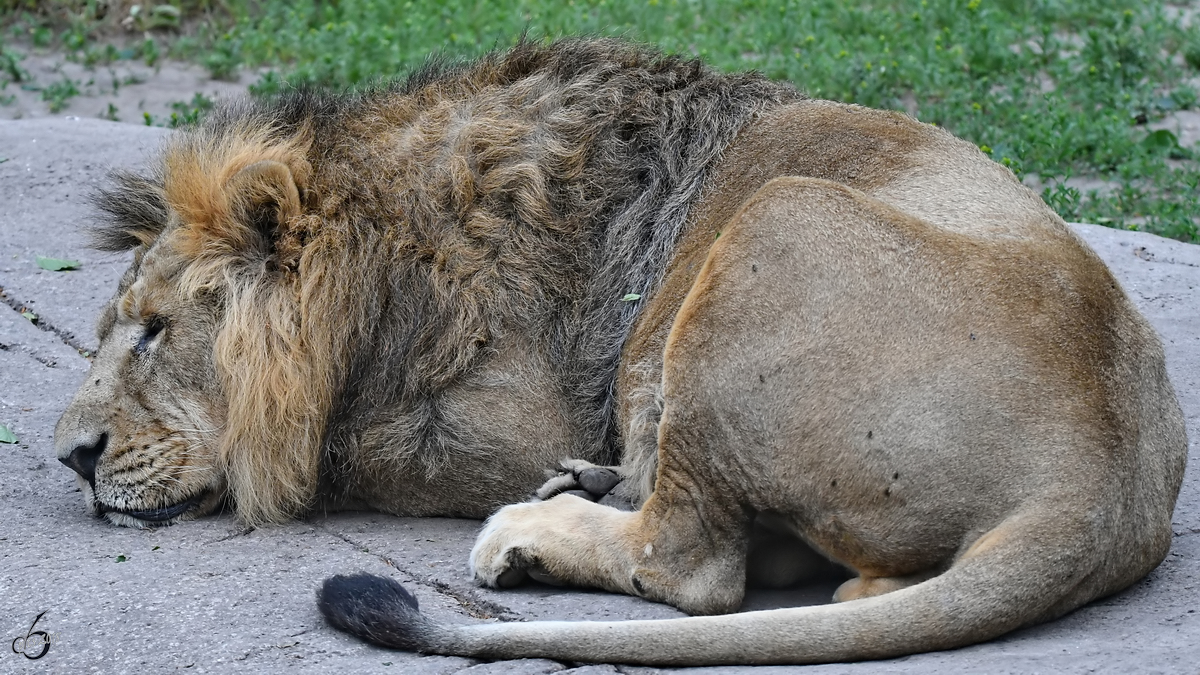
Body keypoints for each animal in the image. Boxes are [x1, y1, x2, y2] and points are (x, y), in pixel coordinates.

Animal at [54, 38, 1180, 662]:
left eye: (156, 331)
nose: (70, 456)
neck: (388, 240)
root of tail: (1101, 482)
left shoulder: (496, 422)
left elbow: (314, 450)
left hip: (774, 222)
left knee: (692, 566)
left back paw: (532, 530)